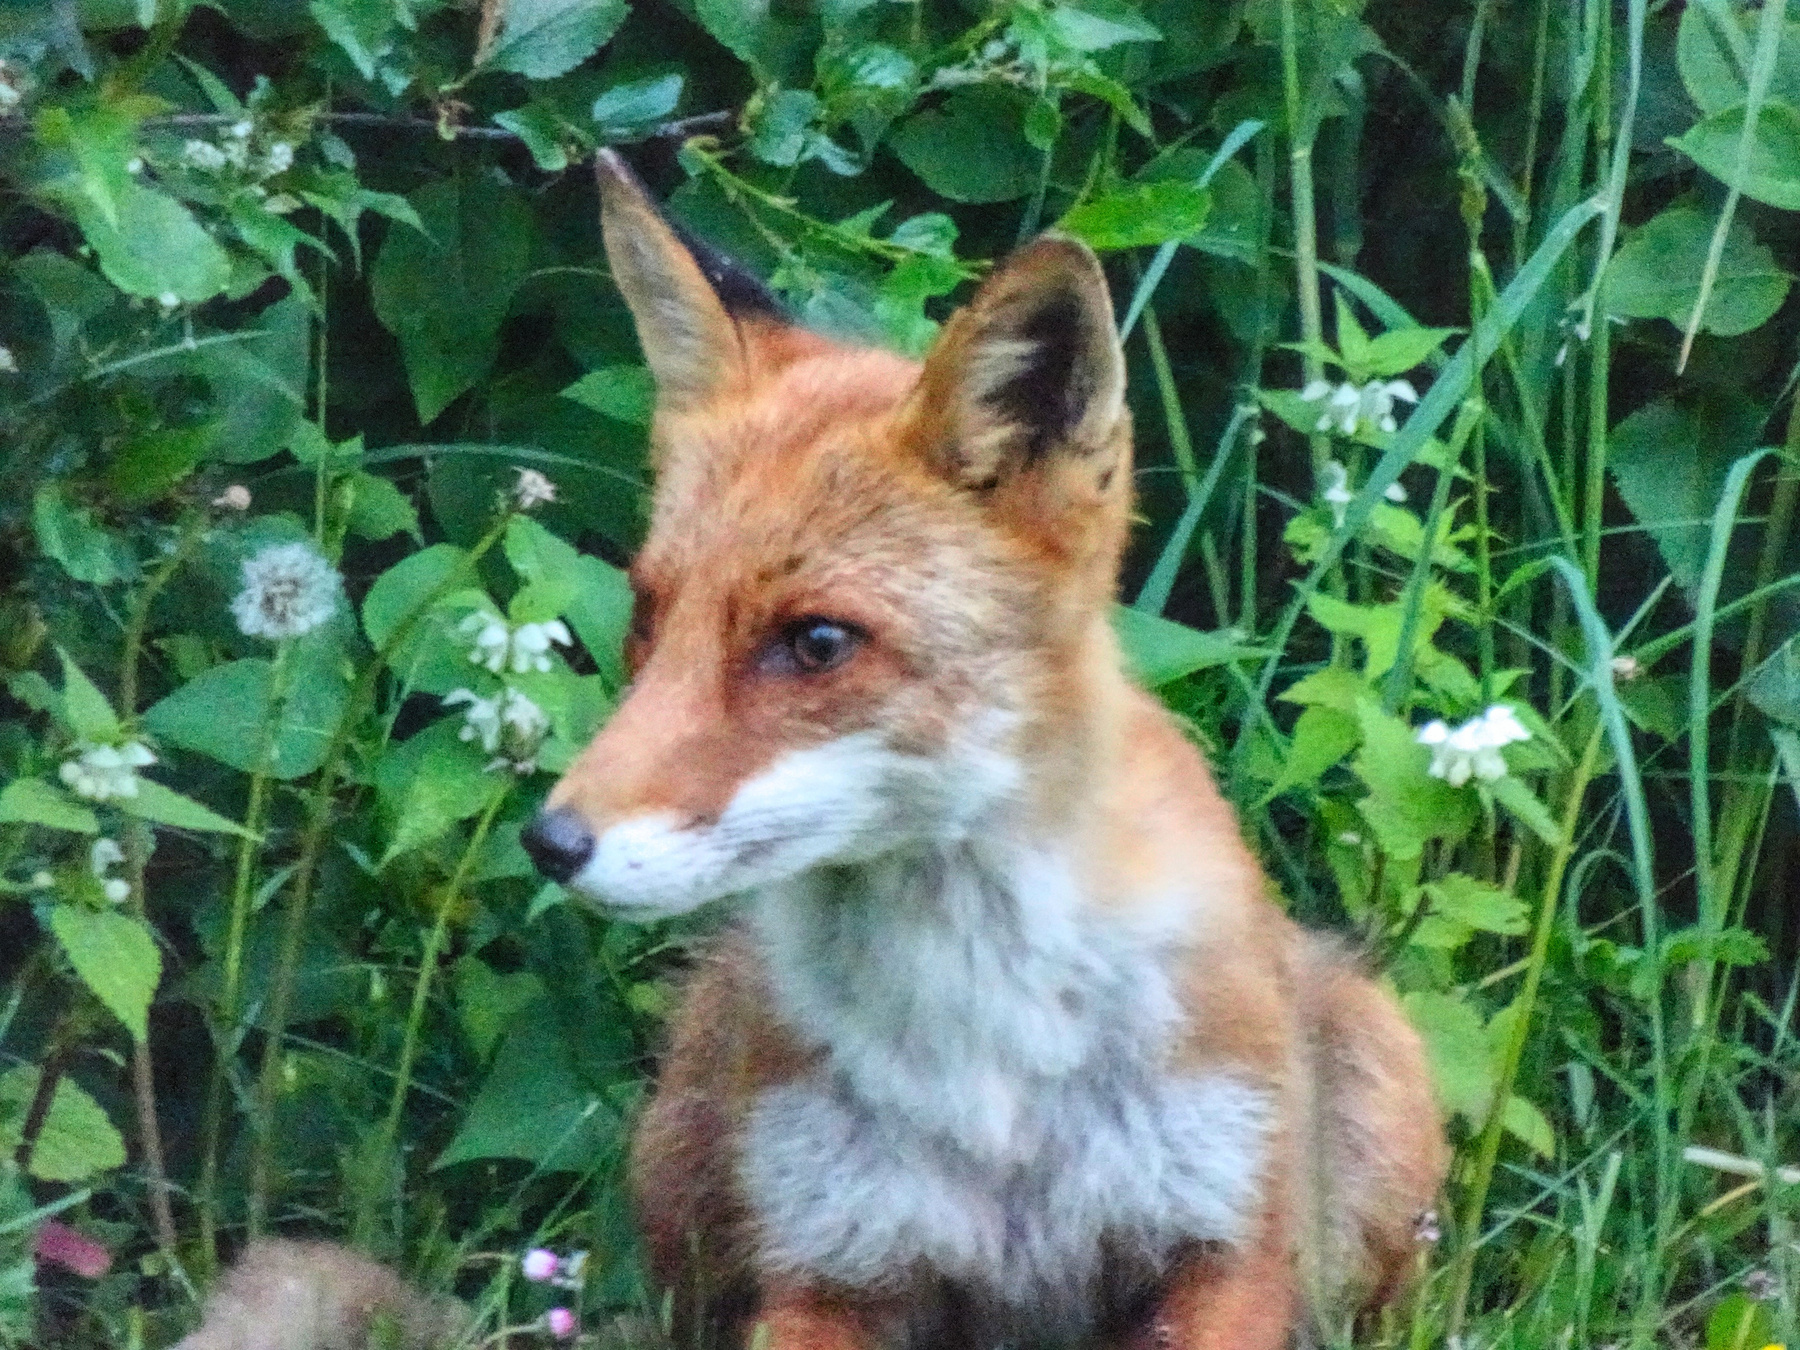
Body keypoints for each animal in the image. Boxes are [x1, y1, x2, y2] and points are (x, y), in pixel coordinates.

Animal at [507, 150, 1451, 1350]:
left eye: (816, 643)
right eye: (647, 615)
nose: (551, 842)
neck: (987, 1060)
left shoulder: (1226, 1251)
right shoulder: (831, 1266)